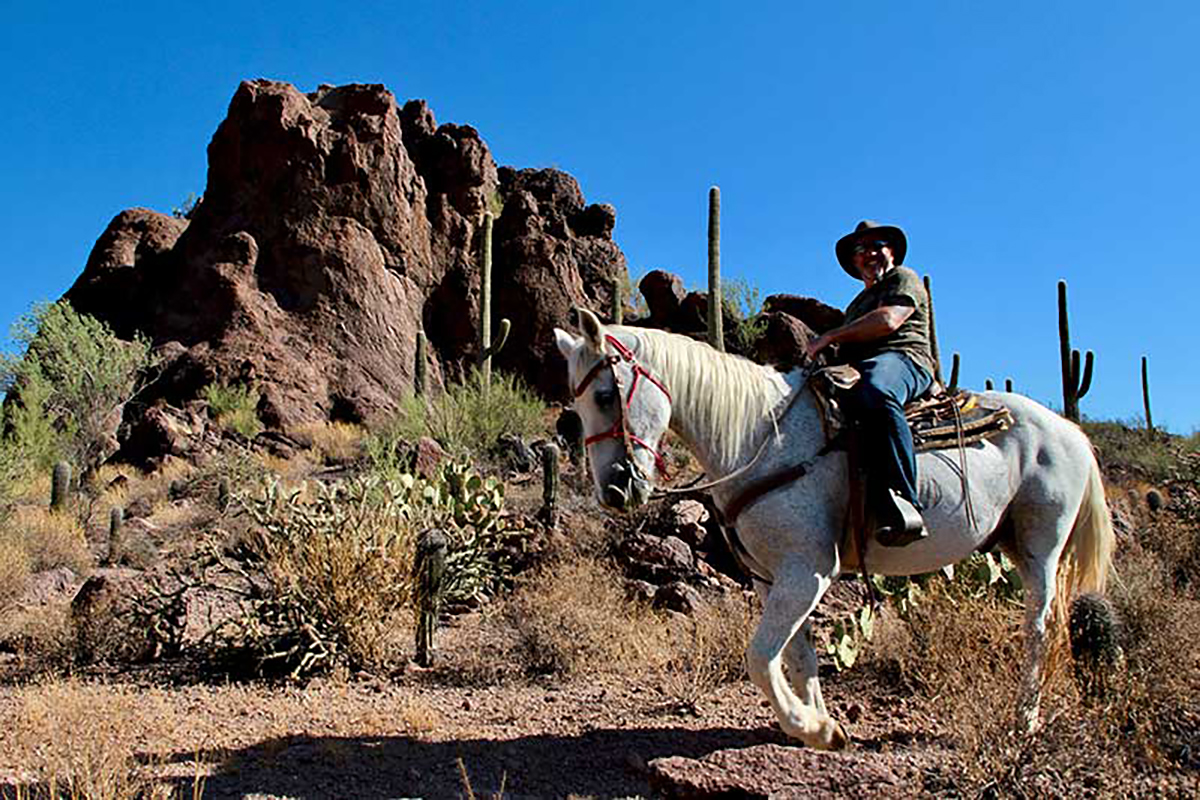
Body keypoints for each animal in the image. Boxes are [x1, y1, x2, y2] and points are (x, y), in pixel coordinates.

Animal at [552, 309, 1113, 753]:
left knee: (1039, 629)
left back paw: (1025, 720)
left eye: (606, 394)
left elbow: (760, 658)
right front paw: (819, 725)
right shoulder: (772, 578)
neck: (761, 436)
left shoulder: (809, 571)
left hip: (1042, 548)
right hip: (1013, 545)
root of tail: (1070, 431)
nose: (614, 491)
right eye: (574, 409)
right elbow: (799, 656)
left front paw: (810, 727)